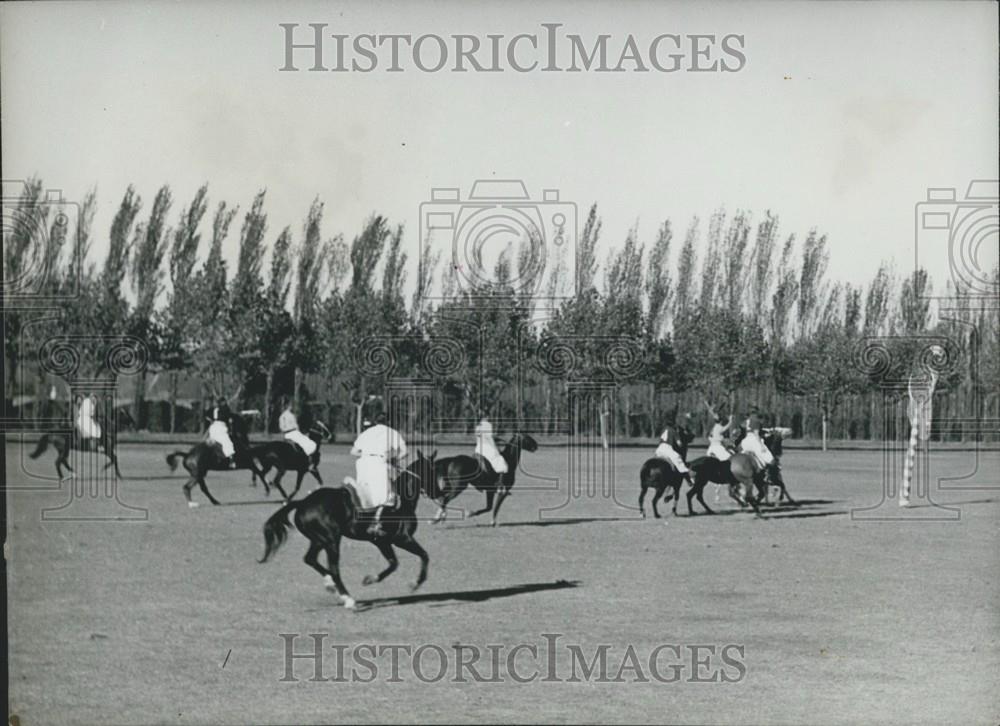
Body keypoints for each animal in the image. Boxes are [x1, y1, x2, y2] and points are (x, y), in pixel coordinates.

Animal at [256, 452, 436, 612]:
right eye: (433, 470)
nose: (438, 493)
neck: (403, 501)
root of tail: (303, 503)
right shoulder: (402, 538)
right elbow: (423, 556)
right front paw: (415, 583)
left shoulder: (382, 541)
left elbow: (394, 563)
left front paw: (370, 579)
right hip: (331, 540)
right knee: (334, 569)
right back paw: (348, 599)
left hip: (319, 540)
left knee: (310, 559)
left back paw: (331, 586)